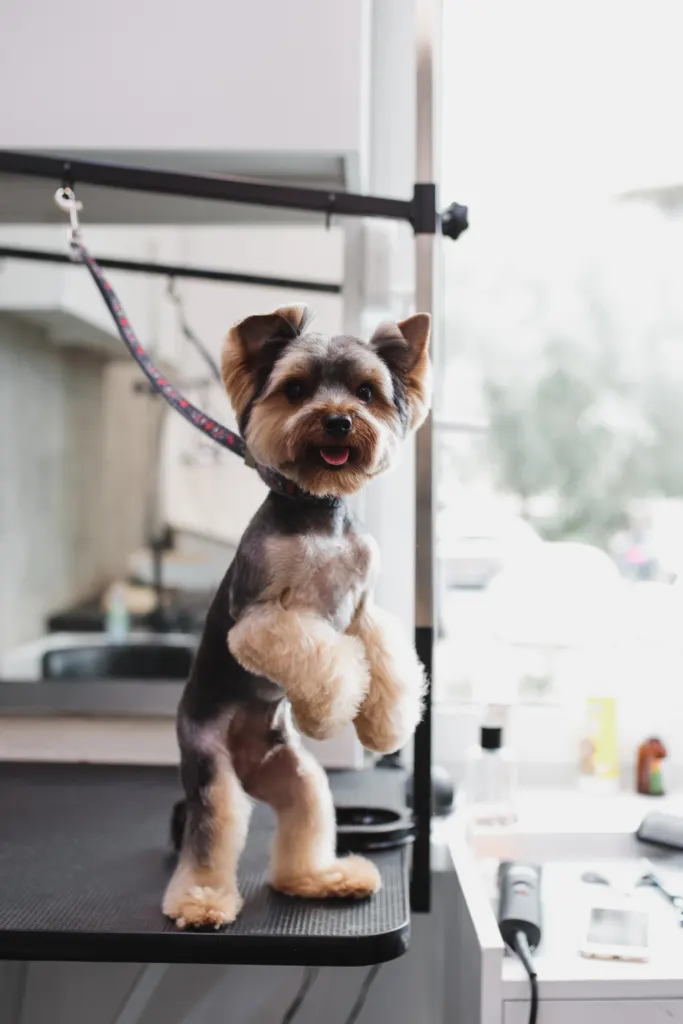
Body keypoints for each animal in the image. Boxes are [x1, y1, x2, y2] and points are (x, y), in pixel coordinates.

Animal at [162, 303, 432, 929]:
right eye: (296, 390)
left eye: (365, 392)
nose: (337, 420)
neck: (318, 513)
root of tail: (245, 761)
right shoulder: (260, 618)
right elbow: (321, 656)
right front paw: (329, 713)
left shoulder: (360, 608)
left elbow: (382, 659)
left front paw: (382, 725)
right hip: (209, 765)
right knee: (213, 828)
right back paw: (201, 900)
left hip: (294, 773)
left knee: (305, 817)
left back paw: (320, 878)